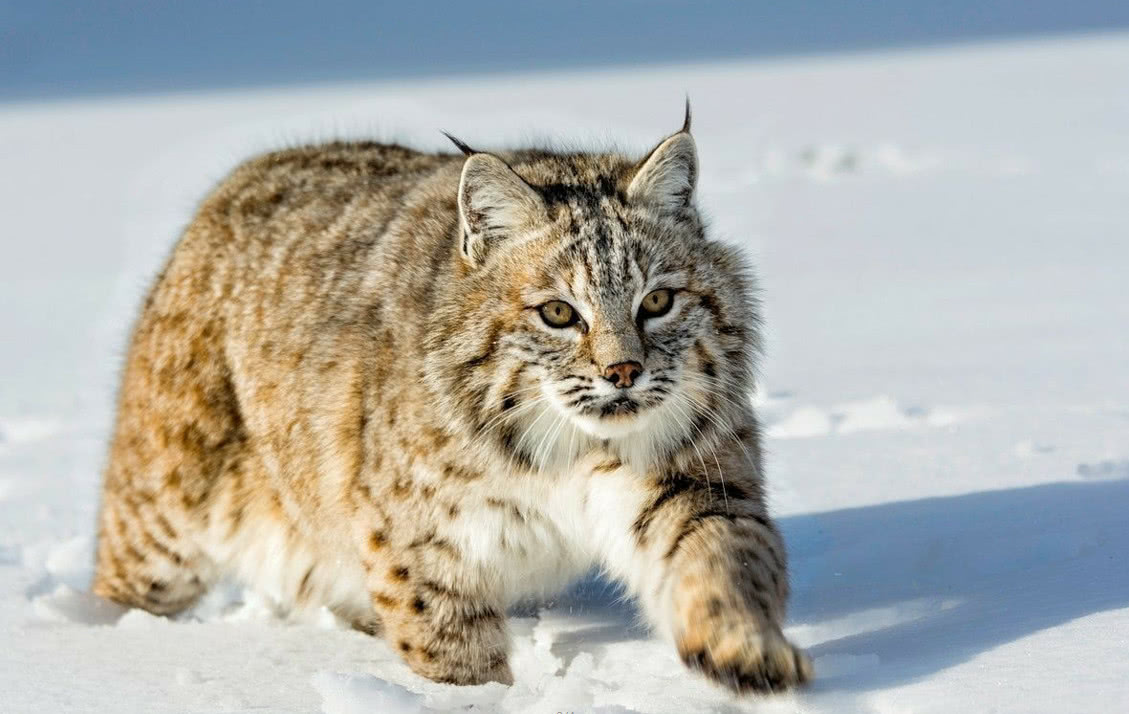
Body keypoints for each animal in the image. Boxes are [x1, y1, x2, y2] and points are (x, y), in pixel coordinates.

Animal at [90, 106, 812, 691]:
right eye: (558, 313)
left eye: (657, 301)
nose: (623, 373)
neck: (573, 448)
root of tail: (240, 179)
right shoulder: (421, 541)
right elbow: (450, 647)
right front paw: (477, 700)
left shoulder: (697, 477)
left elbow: (723, 560)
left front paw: (744, 649)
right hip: (167, 505)